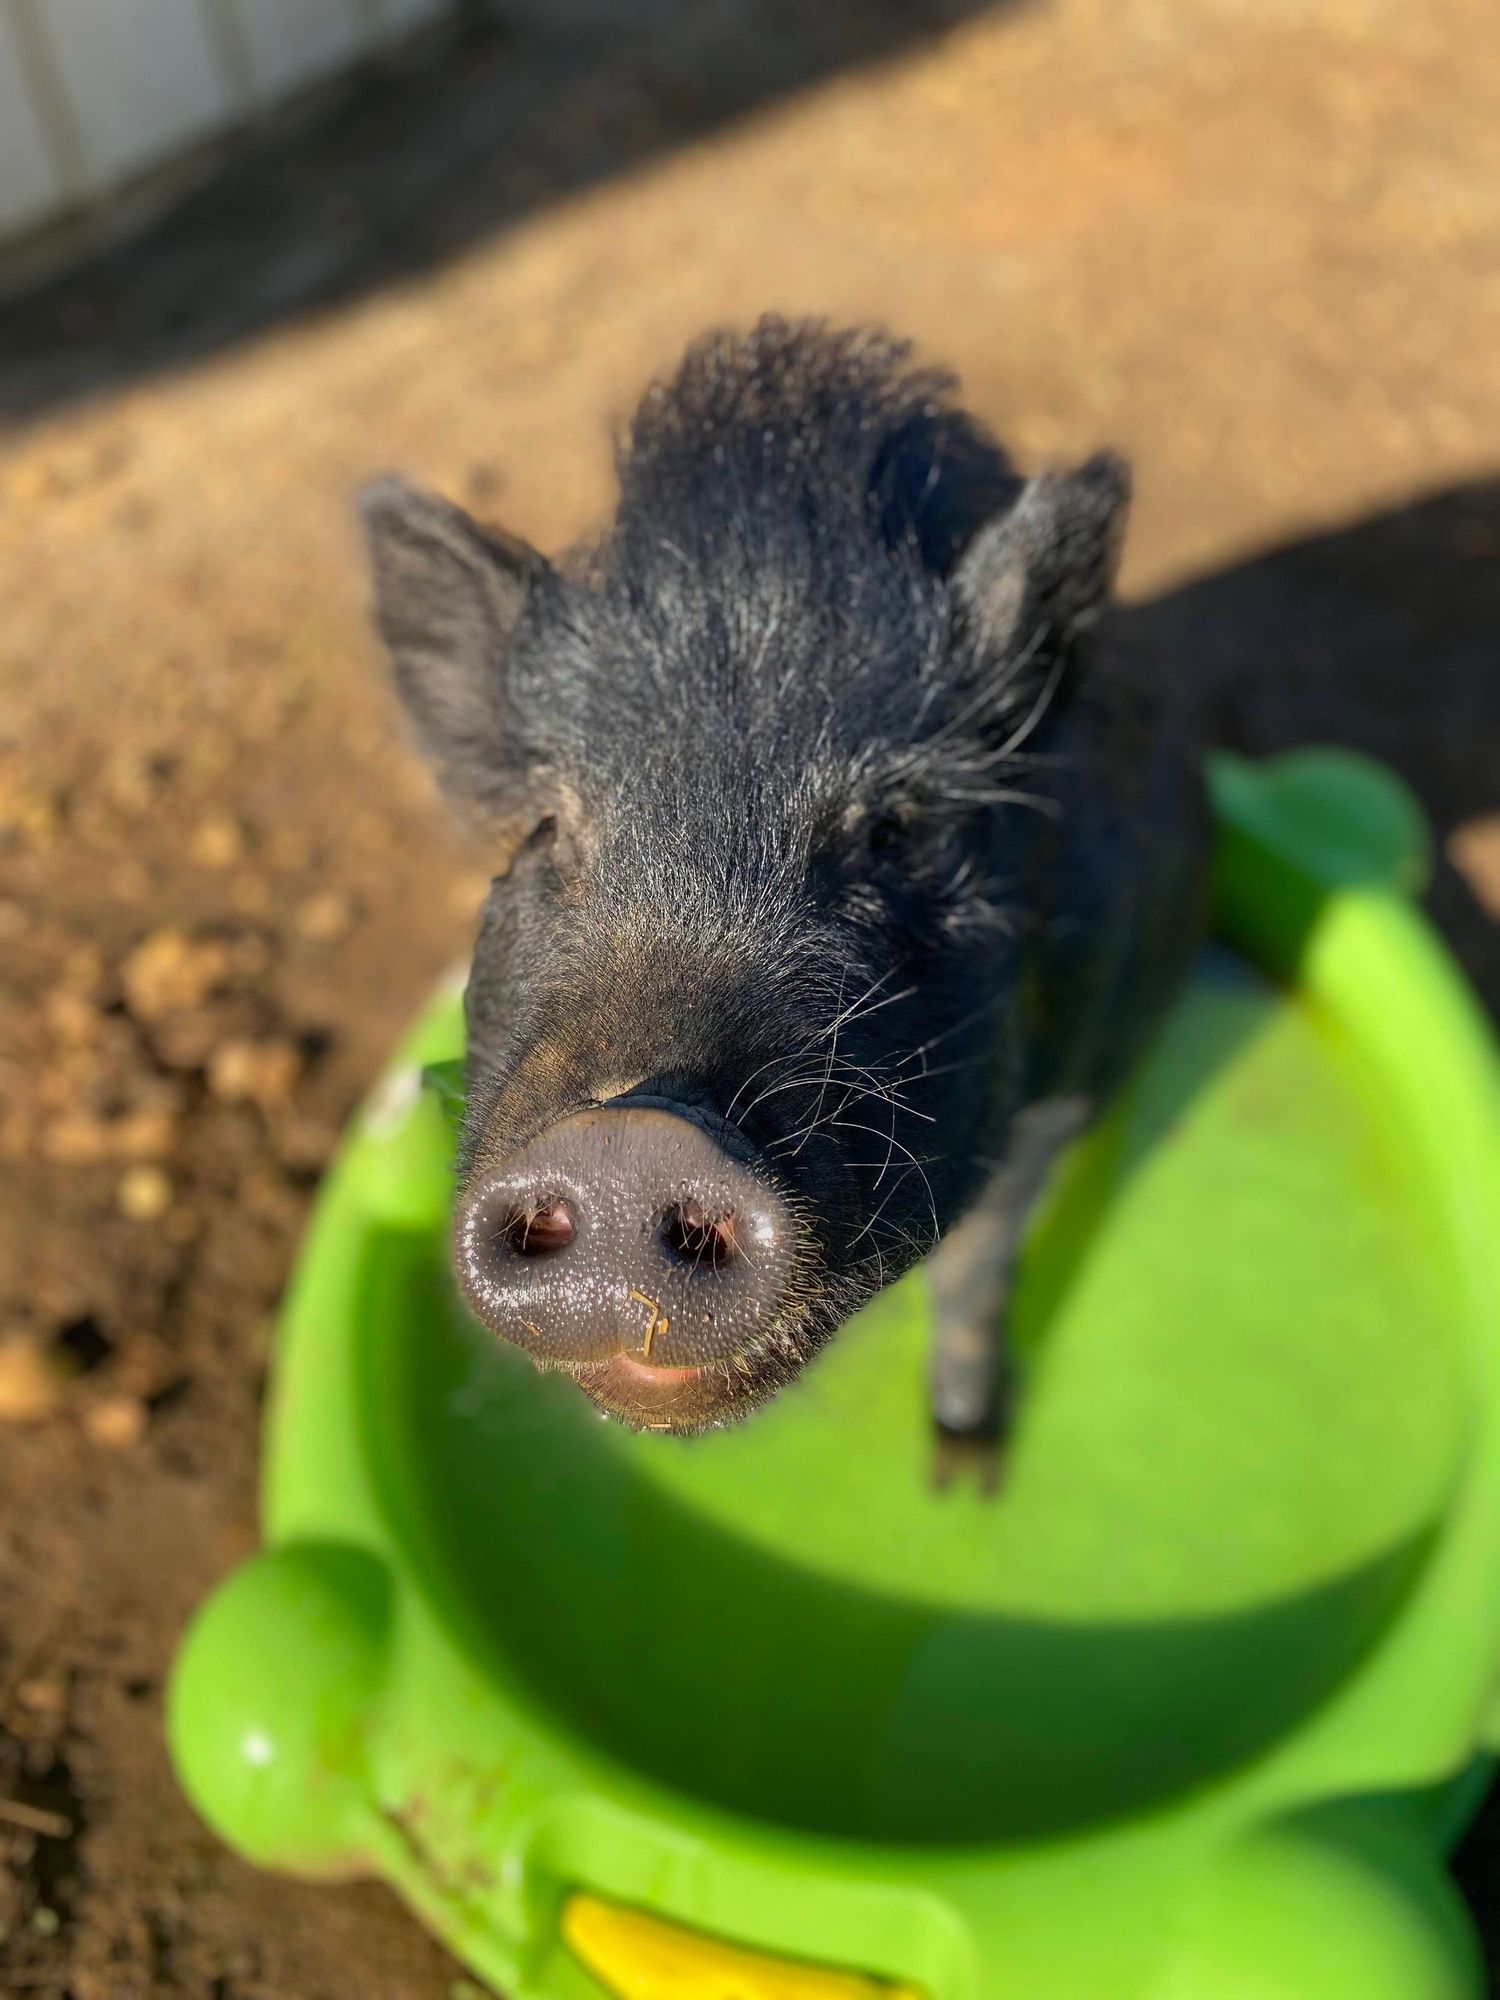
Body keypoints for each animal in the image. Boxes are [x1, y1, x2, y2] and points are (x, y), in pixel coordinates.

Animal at [361, 317, 1207, 1473]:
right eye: (547, 826)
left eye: (896, 831)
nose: (629, 1139)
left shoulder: (1070, 1064)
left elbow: (984, 1257)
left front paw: (964, 1467)